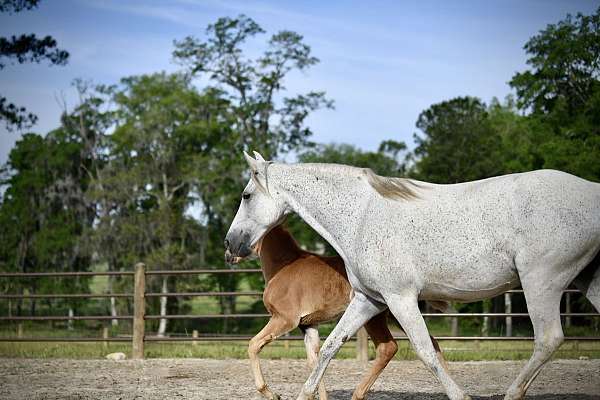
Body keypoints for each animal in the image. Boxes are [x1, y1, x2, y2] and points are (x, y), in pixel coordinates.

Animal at [246, 227, 448, 400]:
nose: (235, 255)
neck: (283, 265)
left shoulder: (285, 319)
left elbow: (254, 344)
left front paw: (272, 394)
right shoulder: (308, 324)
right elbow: (315, 360)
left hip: (373, 316)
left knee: (388, 348)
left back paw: (358, 394)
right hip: (397, 314)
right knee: (432, 343)